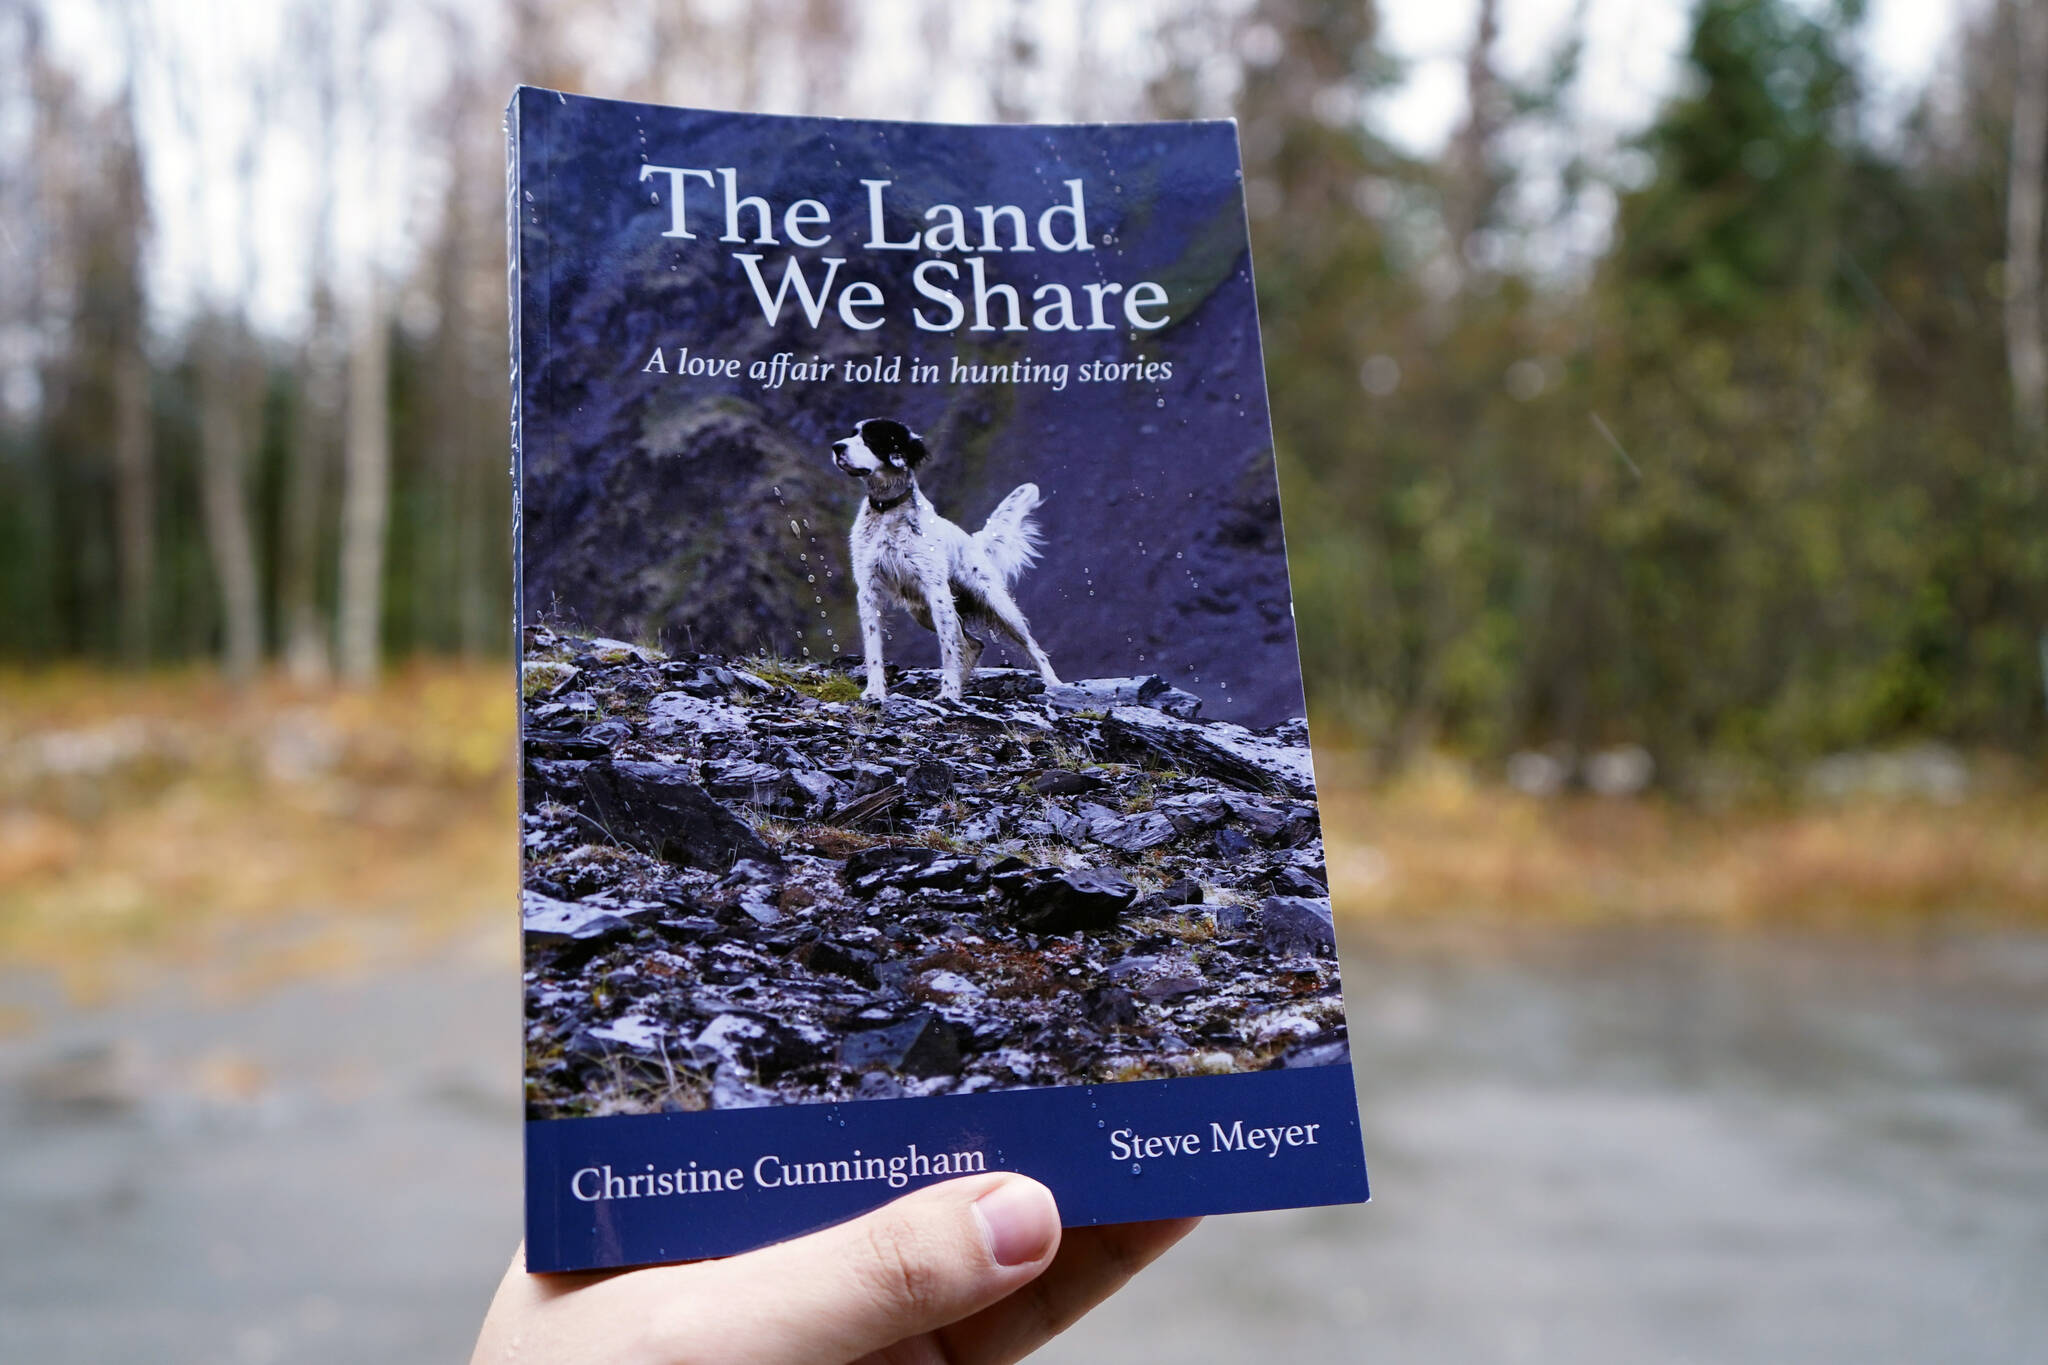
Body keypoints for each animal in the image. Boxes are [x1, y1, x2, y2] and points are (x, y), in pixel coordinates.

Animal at [827, 419, 1064, 703]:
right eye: (852, 434)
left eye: (871, 439)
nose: (836, 447)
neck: (888, 511)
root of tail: (974, 542)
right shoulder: (868, 589)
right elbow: (874, 648)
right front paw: (874, 691)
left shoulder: (936, 591)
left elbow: (948, 649)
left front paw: (948, 692)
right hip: (923, 611)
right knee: (972, 644)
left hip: (996, 604)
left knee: (1029, 646)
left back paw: (1054, 683)